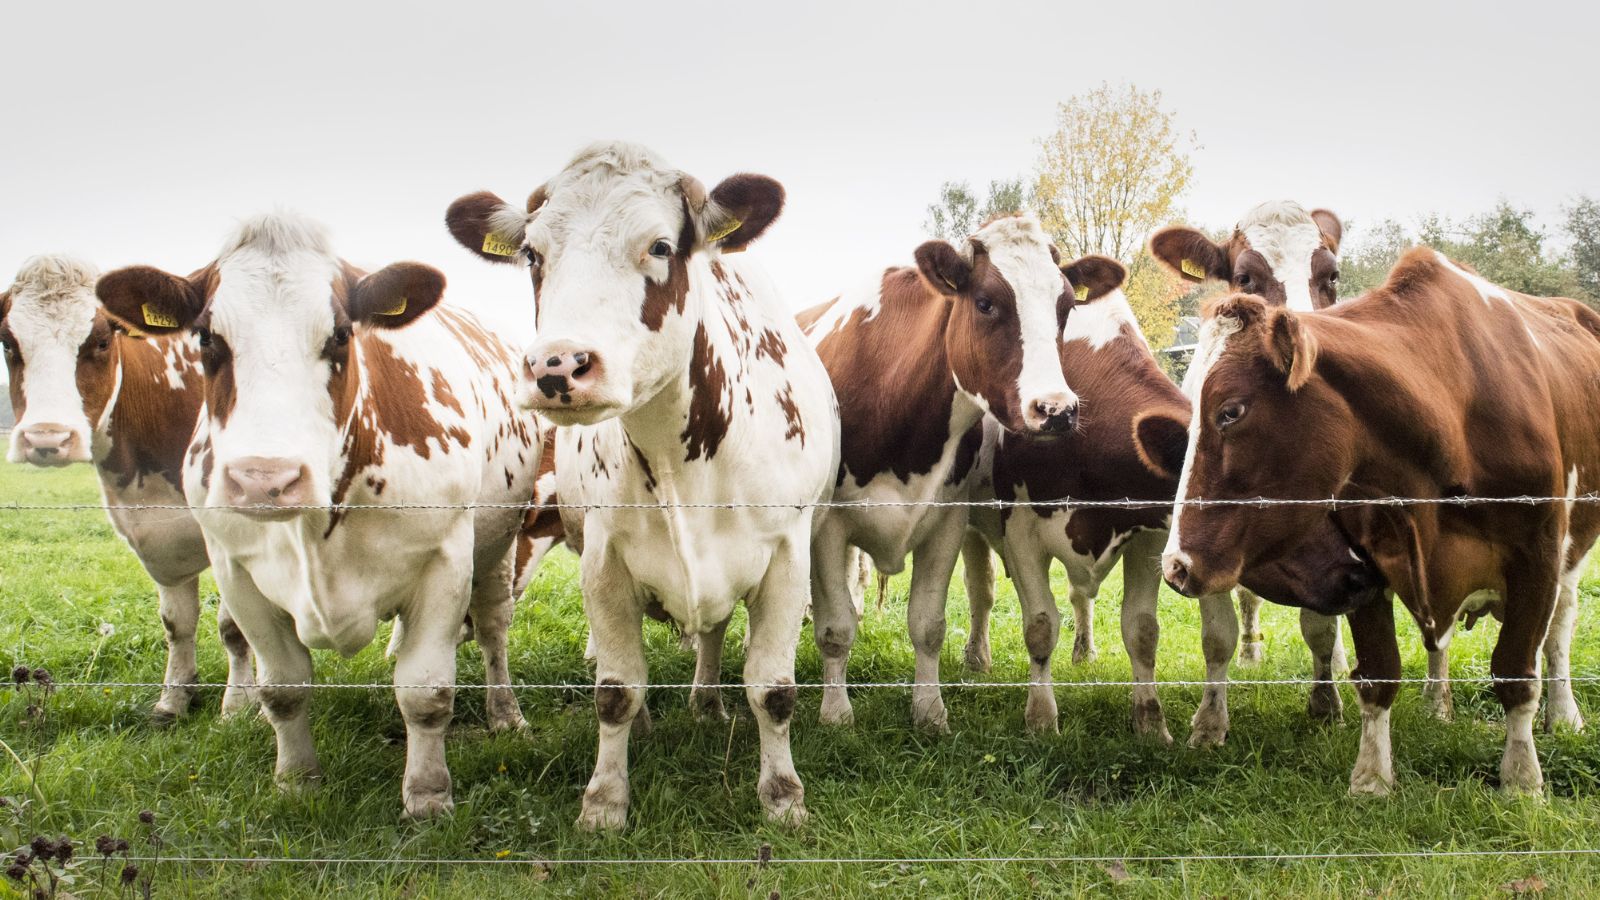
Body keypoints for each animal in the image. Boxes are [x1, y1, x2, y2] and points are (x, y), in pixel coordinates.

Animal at [0, 256, 252, 717]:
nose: (48, 439)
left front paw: (238, 706)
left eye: (101, 341)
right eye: (8, 343)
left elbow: (233, 627)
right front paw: (173, 699)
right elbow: (176, 623)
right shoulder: (154, 532)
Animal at [96, 212, 540, 816]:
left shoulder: (445, 560)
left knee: (494, 629)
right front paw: (295, 780)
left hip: (498, 545)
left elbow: (425, 692)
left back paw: (505, 715)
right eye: (207, 338)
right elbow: (282, 688)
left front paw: (427, 795)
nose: (265, 479)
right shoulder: (237, 572)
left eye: (340, 334)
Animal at [441, 140, 838, 826]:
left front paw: (783, 796)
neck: (682, 458)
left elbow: (773, 689)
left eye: (659, 246)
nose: (557, 365)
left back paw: (707, 702)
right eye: (533, 254)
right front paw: (604, 801)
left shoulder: (788, 554)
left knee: (713, 634)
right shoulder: (603, 559)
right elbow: (616, 689)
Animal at [800, 211, 1100, 730]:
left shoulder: (946, 521)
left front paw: (929, 711)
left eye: (1065, 306)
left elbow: (928, 624)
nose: (1056, 410)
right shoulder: (829, 527)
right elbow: (835, 626)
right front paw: (836, 713)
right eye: (985, 303)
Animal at [1164, 245, 1600, 791]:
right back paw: (1438, 703)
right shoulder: (1366, 566)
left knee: (1559, 633)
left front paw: (1522, 779)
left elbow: (1517, 671)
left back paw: (1563, 714)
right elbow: (1377, 673)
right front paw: (1371, 777)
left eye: (1230, 411)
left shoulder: (1537, 555)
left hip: (1572, 556)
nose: (1175, 564)